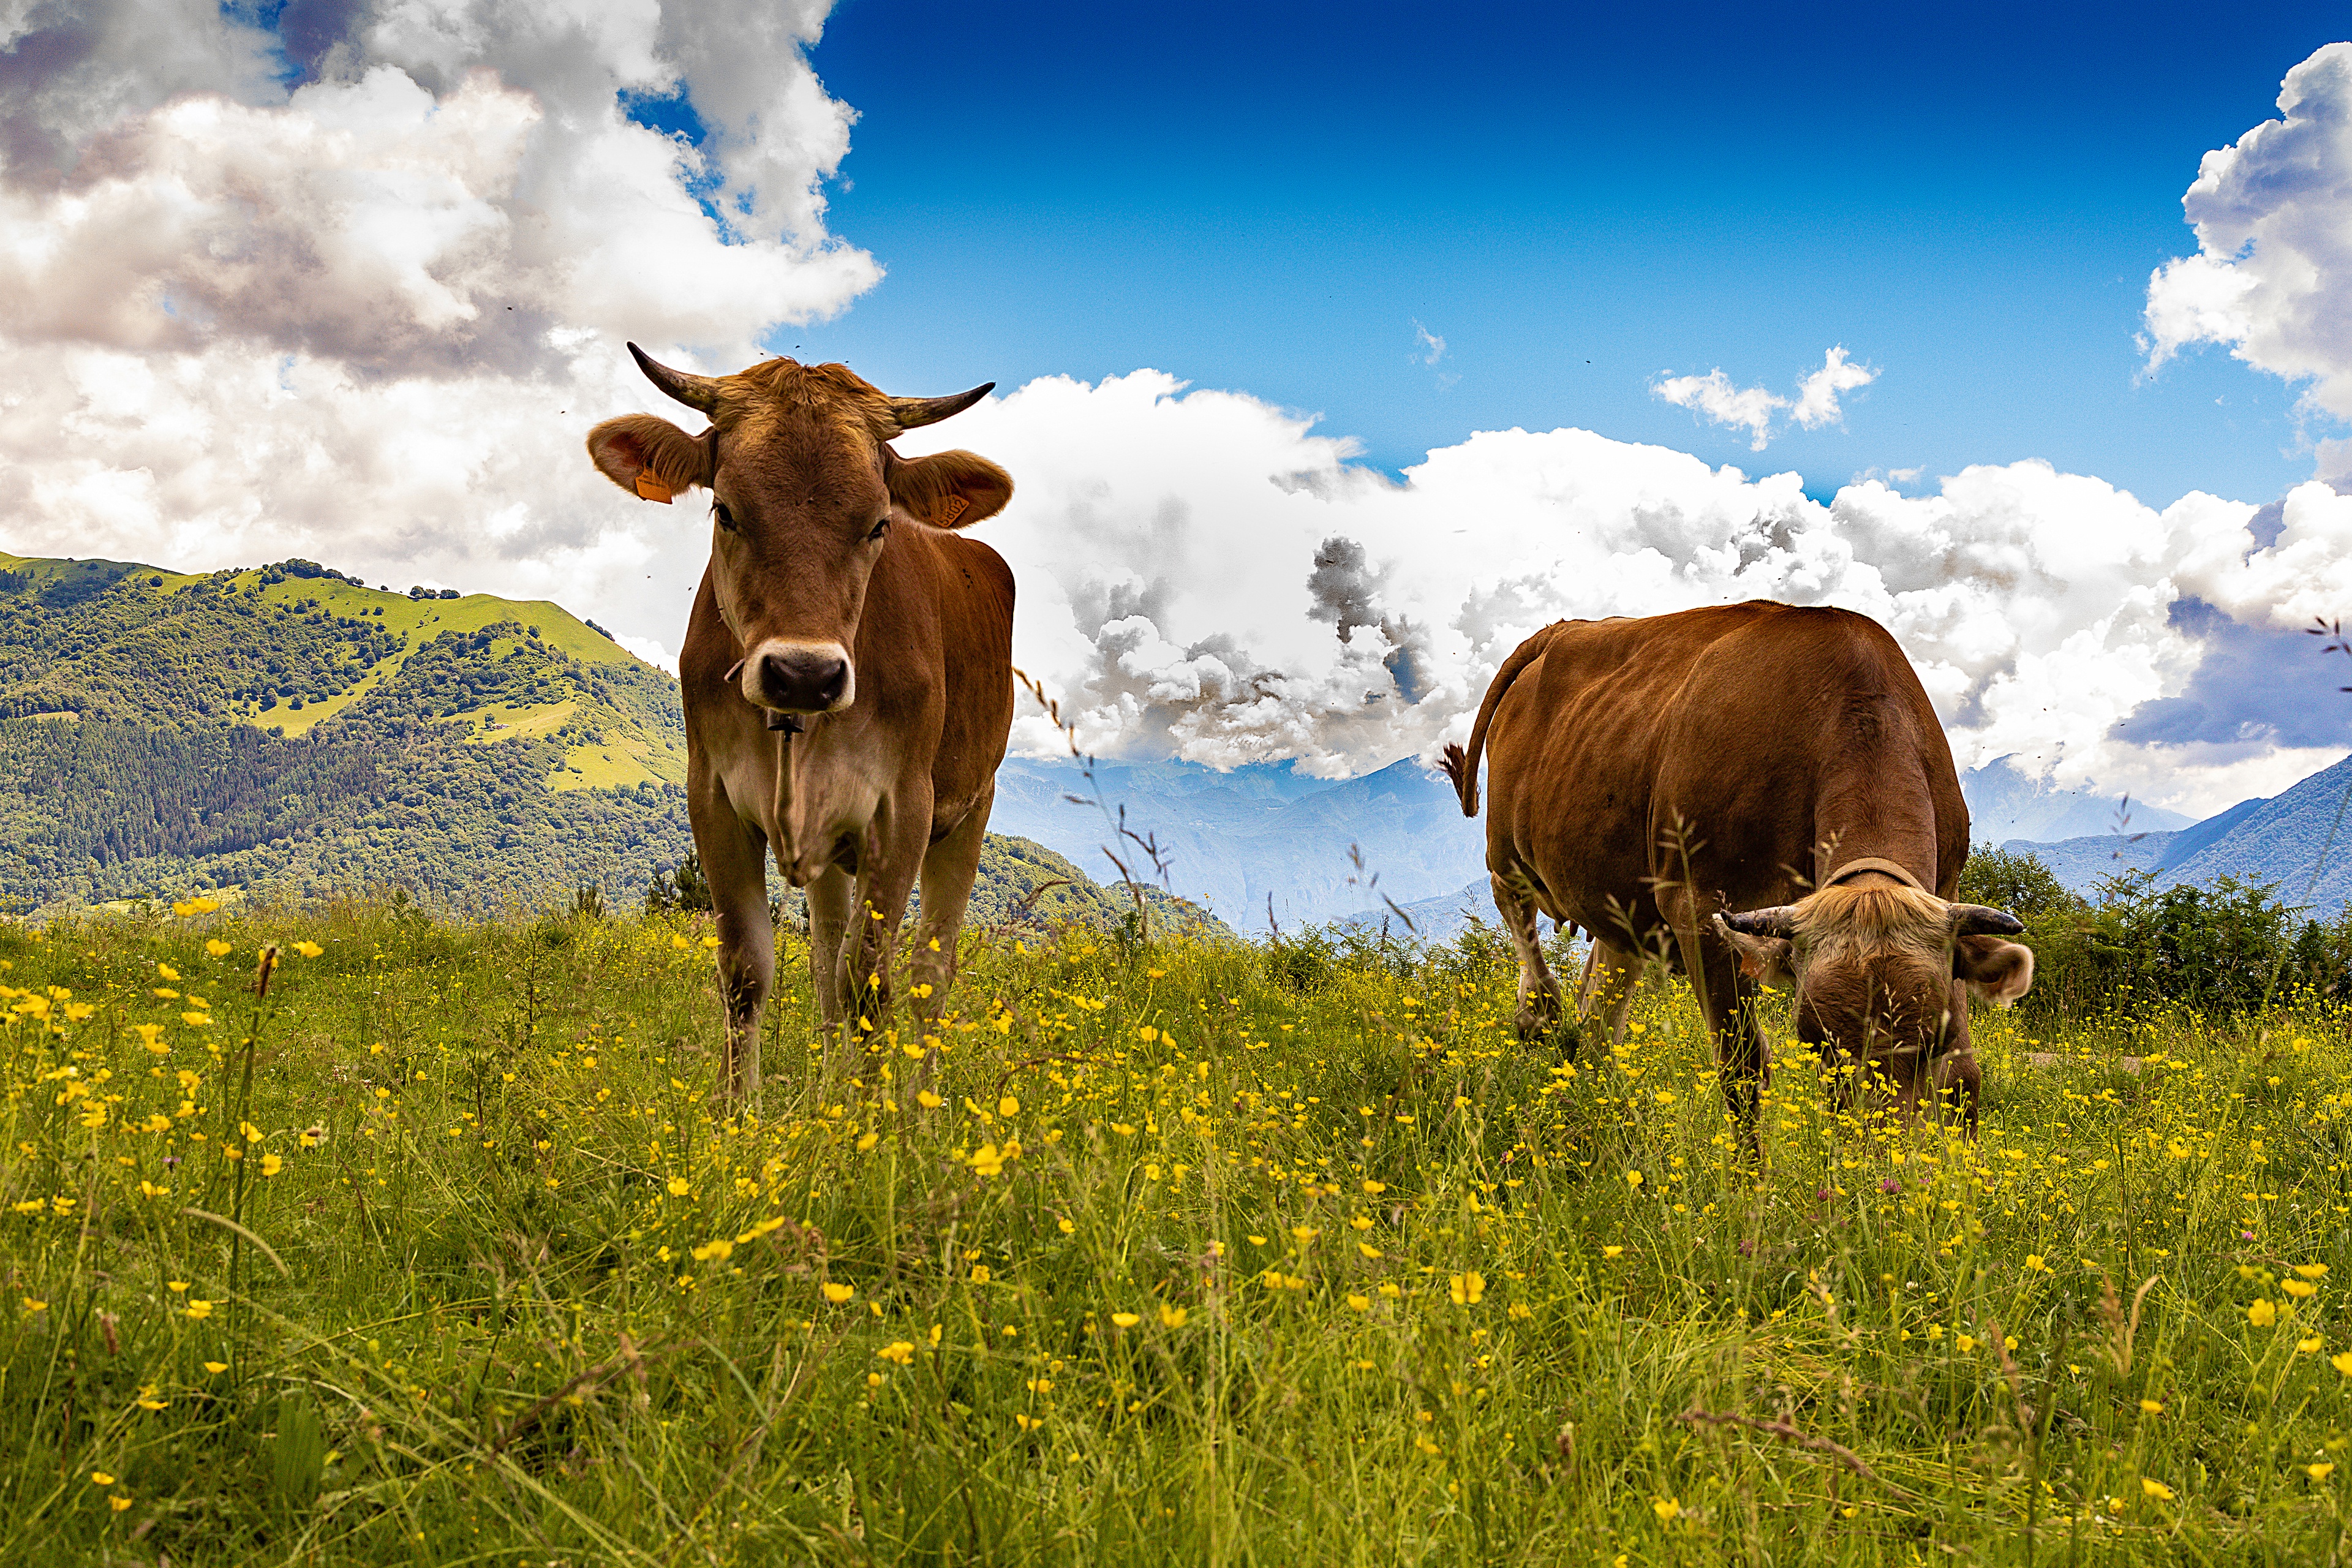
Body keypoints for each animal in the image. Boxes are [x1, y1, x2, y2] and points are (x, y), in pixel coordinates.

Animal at [586, 346, 1016, 1102]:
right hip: (831, 850)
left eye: (879, 525)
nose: (804, 675)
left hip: (971, 809)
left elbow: (871, 980)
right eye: (726, 511)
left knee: (929, 973)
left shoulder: (902, 808)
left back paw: (918, 1104)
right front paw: (739, 1112)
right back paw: (831, 1090)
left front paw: (872, 1121)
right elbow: (750, 971)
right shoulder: (714, 800)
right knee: (825, 958)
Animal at [1438, 601, 2033, 1138]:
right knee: (1520, 926)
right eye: (1812, 1039)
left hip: (1621, 900)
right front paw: (1754, 1188)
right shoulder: (1699, 909)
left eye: (1936, 1037)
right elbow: (1743, 1068)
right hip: (1507, 852)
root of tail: (1565, 628)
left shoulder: (1948, 906)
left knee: (1600, 1015)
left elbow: (1963, 1076)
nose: (1876, 1159)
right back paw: (1537, 1010)